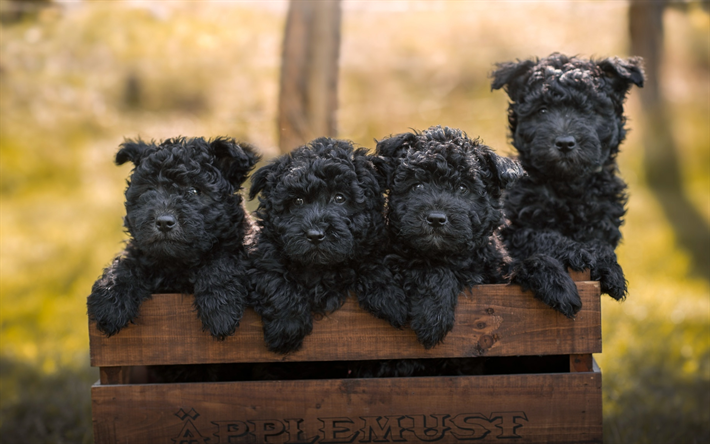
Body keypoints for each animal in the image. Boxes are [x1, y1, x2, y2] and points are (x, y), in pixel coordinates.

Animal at [86, 137, 258, 338]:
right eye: (149, 190)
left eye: (194, 191)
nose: (164, 222)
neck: (177, 264)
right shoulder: (141, 252)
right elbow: (126, 264)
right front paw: (110, 299)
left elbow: (223, 261)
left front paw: (220, 309)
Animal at [249, 138, 406, 354]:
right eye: (298, 201)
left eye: (340, 198)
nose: (315, 235)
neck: (321, 268)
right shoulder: (264, 256)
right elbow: (275, 279)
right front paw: (287, 326)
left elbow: (373, 260)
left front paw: (390, 298)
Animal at [378, 126, 524, 348]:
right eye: (417, 186)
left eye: (463, 188)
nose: (436, 219)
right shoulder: (396, 259)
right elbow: (431, 270)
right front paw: (433, 319)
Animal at [492, 53, 648, 316]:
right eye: (542, 110)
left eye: (589, 111)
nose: (565, 143)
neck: (567, 188)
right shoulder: (512, 230)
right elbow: (541, 236)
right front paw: (574, 251)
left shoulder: (603, 223)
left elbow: (600, 243)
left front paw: (610, 269)